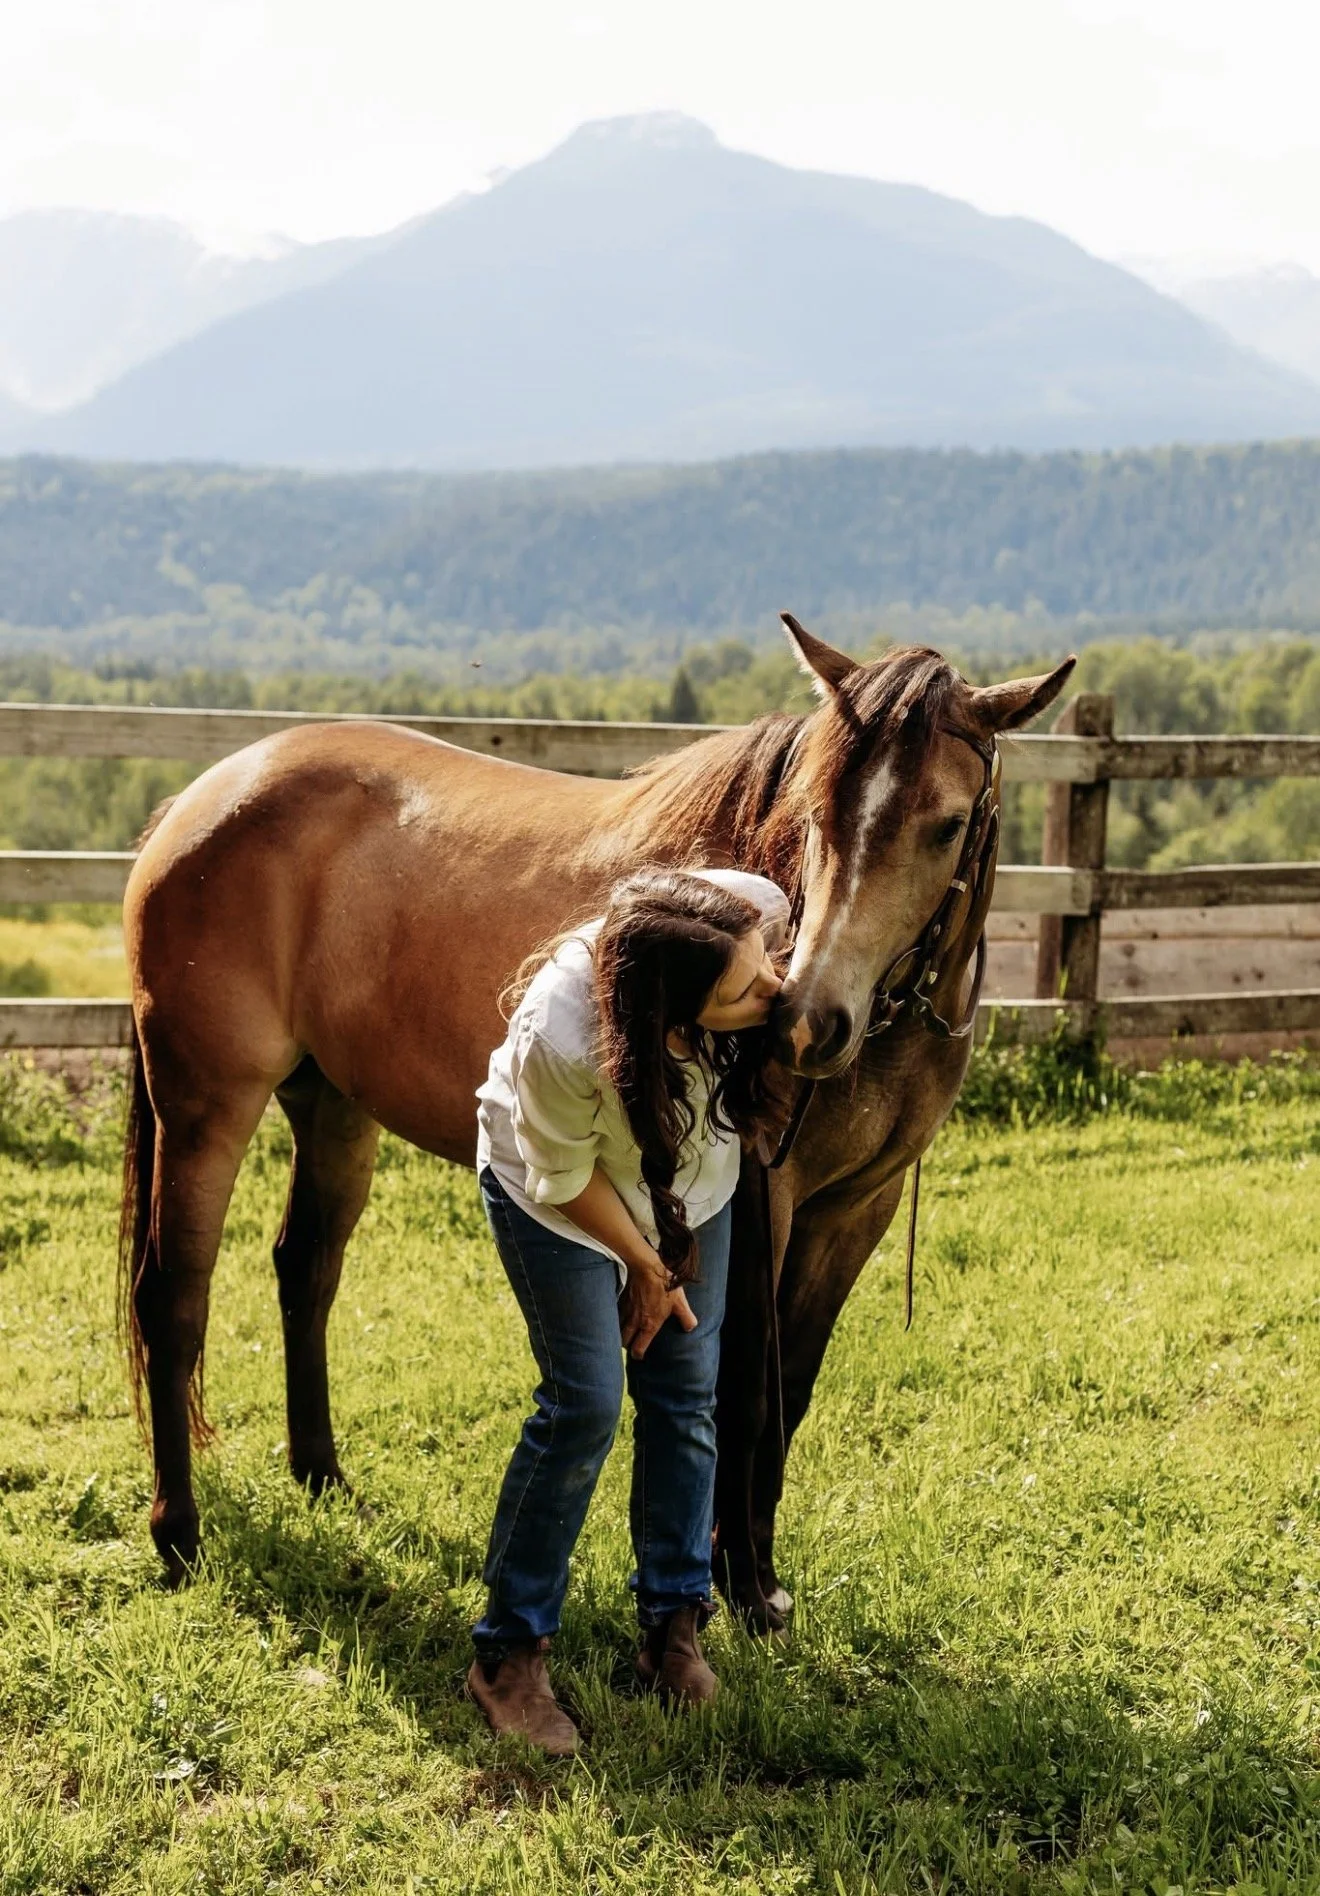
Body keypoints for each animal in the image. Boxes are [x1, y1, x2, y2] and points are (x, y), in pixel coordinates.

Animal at [119, 618, 1073, 1588]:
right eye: (814, 814)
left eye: (945, 825)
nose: (808, 1023)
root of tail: (195, 800)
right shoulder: (761, 1200)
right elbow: (746, 1390)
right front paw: (737, 1580)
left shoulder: (855, 1209)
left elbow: (792, 1390)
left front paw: (759, 1576)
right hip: (206, 1105)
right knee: (173, 1297)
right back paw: (179, 1532)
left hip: (334, 1108)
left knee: (305, 1270)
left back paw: (322, 1477)